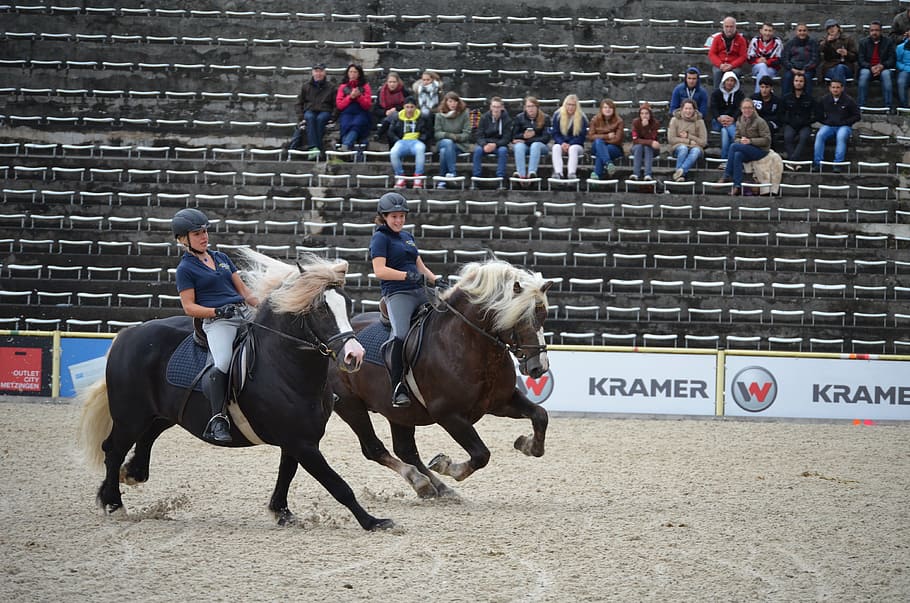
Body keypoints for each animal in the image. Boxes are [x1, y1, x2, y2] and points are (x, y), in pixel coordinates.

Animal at [78, 249, 394, 530]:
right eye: (319, 309)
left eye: (346, 305)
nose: (355, 356)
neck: (283, 368)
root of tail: (127, 334)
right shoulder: (301, 443)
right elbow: (338, 486)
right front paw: (374, 522)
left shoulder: (298, 440)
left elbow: (286, 474)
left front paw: (282, 512)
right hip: (130, 416)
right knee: (113, 449)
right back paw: (114, 503)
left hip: (163, 415)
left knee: (144, 441)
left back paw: (128, 477)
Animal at [329, 260, 552, 498]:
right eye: (520, 318)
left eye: (543, 317)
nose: (539, 367)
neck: (470, 344)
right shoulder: (448, 414)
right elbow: (481, 454)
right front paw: (447, 466)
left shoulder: (501, 402)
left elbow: (540, 415)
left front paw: (527, 445)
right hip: (350, 406)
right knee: (374, 448)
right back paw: (420, 481)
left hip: (397, 412)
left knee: (406, 450)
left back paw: (436, 487)